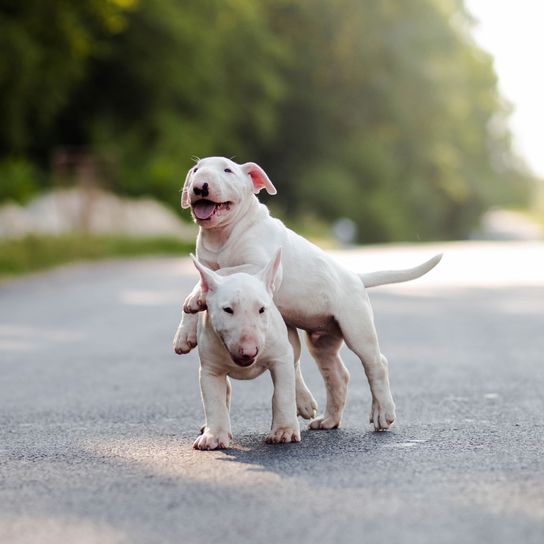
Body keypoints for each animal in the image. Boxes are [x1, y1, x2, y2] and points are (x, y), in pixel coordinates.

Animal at [191, 249, 302, 448]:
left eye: (262, 309)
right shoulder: (210, 368)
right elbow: (214, 400)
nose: (249, 351)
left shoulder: (281, 357)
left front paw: (285, 431)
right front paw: (214, 436)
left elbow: (283, 394)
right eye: (227, 309)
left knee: (294, 369)